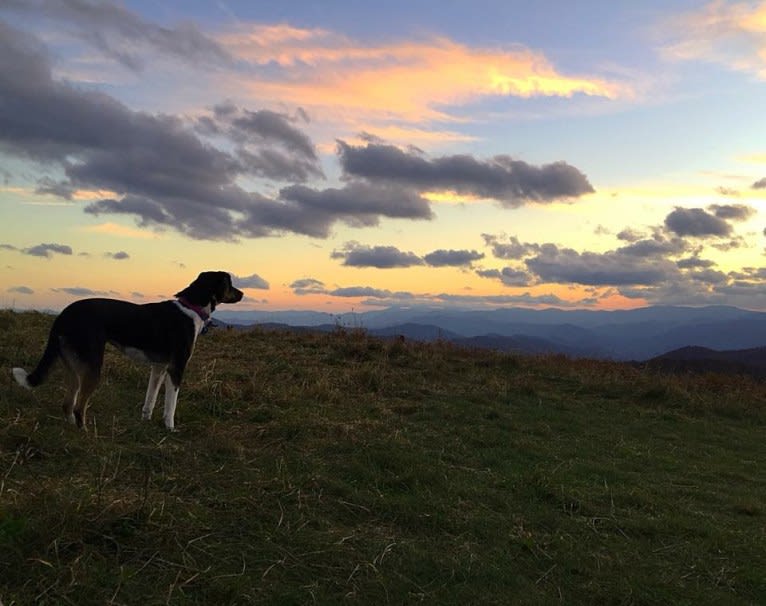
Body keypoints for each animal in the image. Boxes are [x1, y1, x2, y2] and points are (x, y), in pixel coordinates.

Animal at [11, 270, 243, 432]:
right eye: (230, 283)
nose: (242, 293)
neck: (191, 308)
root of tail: (64, 314)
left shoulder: (159, 368)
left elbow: (150, 400)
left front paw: (145, 421)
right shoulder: (176, 368)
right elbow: (171, 405)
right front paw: (170, 428)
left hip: (74, 366)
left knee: (68, 403)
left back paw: (70, 427)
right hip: (93, 366)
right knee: (78, 406)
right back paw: (84, 432)